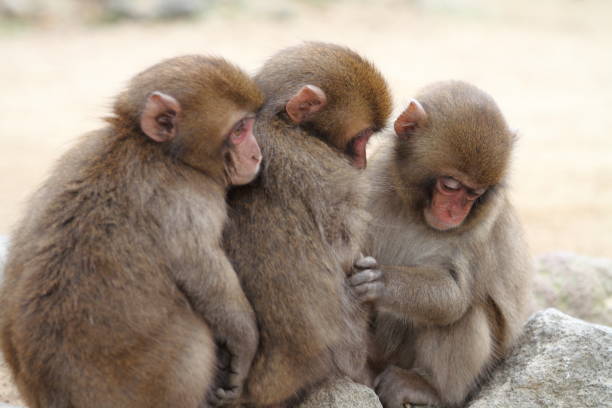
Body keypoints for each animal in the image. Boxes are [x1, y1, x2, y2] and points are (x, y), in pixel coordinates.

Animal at [0, 54, 262, 408]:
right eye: (239, 130)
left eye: (249, 125)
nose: (257, 154)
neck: (148, 146)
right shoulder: (187, 197)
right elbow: (203, 271)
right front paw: (245, 343)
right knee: (195, 343)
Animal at [366, 80, 532, 408]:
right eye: (450, 185)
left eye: (474, 194)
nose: (455, 213)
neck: (416, 213)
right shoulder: (374, 181)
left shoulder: (481, 225)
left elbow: (454, 296)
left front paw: (382, 282)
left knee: (466, 314)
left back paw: (431, 389)